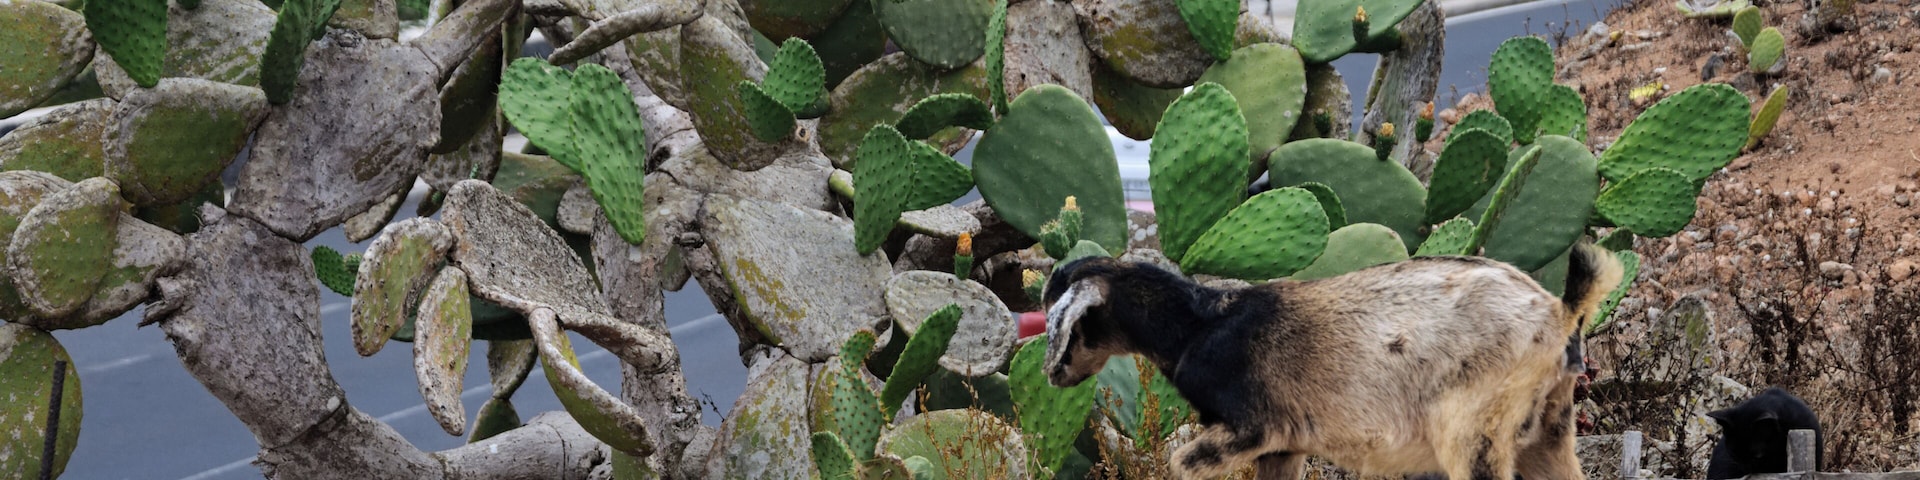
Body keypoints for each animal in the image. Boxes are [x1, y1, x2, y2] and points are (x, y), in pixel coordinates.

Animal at [1041, 244, 1623, 479]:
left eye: (1068, 322)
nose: (1053, 374)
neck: (1198, 327)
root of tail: (1560, 313)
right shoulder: (1283, 447)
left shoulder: (1251, 428)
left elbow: (1180, 464)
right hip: (1548, 431)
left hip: (1472, 429)